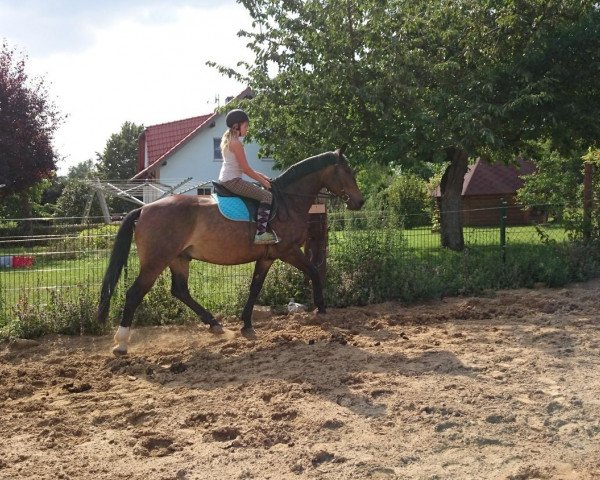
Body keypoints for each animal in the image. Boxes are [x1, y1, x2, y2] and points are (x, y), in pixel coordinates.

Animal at [96, 144, 364, 354]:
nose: (359, 201)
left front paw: (246, 325)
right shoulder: (287, 251)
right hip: (156, 261)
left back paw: (214, 324)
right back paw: (121, 343)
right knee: (135, 293)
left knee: (180, 290)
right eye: (347, 171)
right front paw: (321, 308)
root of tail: (143, 209)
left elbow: (255, 287)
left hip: (179, 258)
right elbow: (314, 271)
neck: (288, 201)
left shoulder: (267, 257)